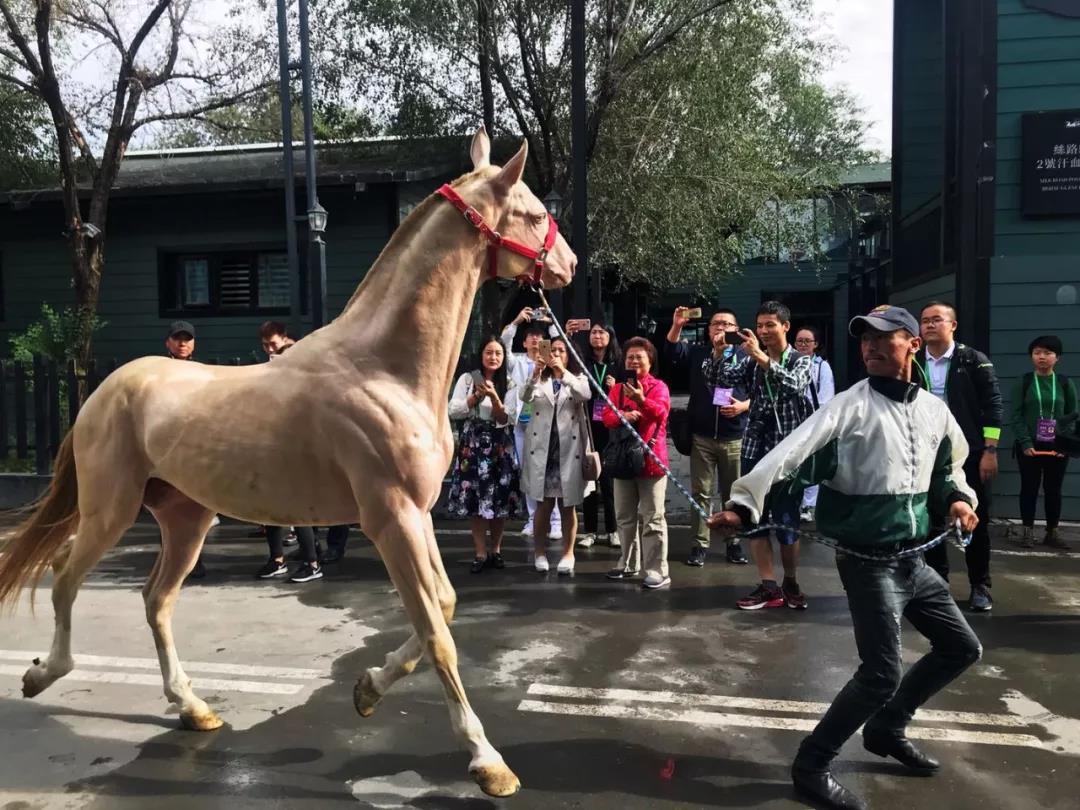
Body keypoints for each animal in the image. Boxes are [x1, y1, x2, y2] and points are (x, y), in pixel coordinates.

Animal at [0, 128, 578, 799]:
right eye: (532, 212)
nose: (567, 265)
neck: (385, 369)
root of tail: (102, 393)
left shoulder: (418, 515)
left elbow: (446, 604)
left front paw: (366, 690)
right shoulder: (392, 519)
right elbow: (439, 634)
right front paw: (487, 761)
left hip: (186, 519)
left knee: (155, 598)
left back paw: (192, 707)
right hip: (110, 509)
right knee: (65, 574)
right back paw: (41, 674)